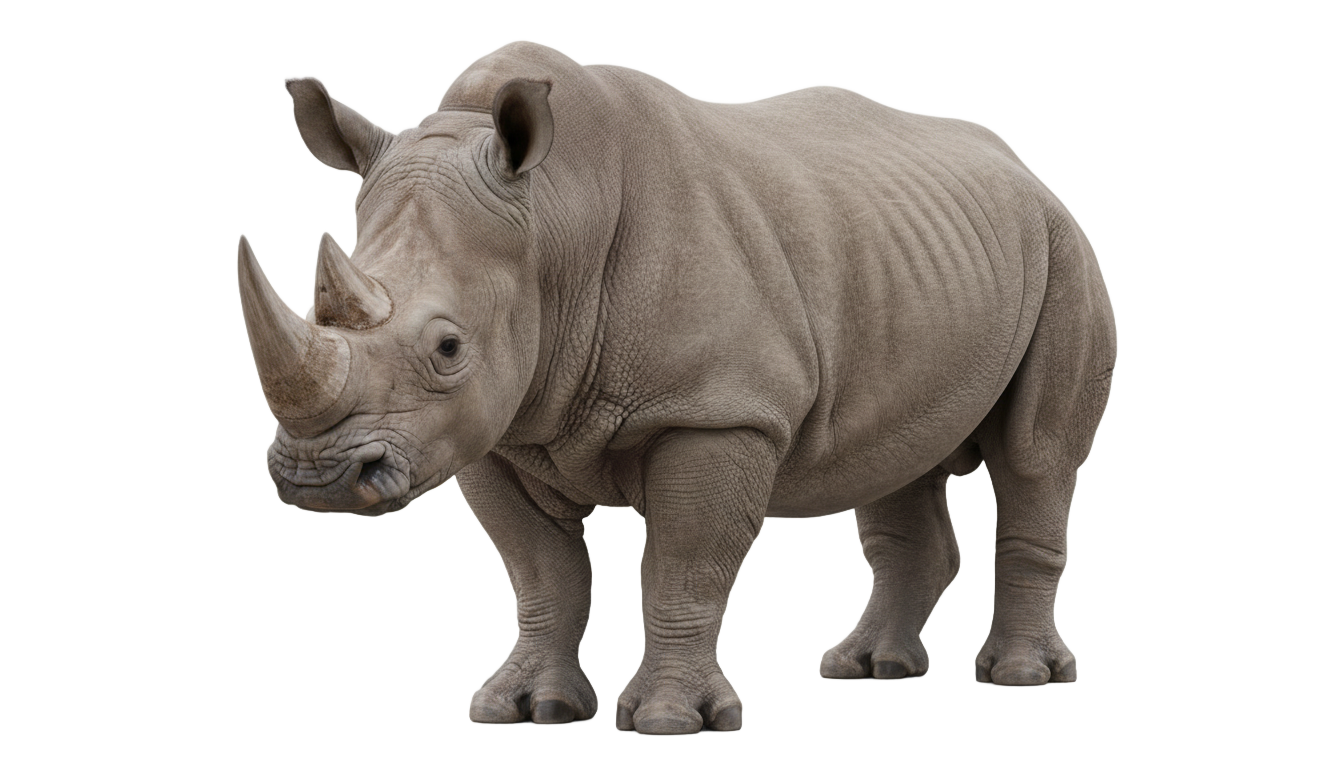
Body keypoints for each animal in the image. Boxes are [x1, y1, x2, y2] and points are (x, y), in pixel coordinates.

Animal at [236, 42, 1114, 734]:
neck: (554, 225)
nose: (318, 479)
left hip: (1064, 248)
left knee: (1035, 456)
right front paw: (527, 710)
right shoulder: (494, 428)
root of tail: (1024, 169)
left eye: (448, 348)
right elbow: (541, 573)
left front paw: (667, 721)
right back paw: (872, 667)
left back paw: (1020, 678)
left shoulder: (718, 412)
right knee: (896, 456)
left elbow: (687, 566)